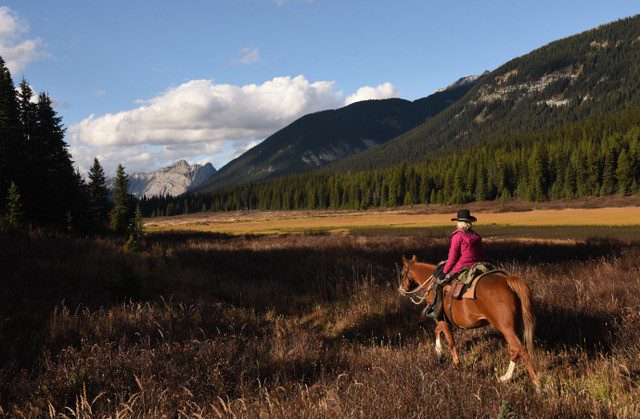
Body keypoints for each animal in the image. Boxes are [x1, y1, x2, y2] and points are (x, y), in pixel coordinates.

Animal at [400, 254, 540, 386]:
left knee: (520, 349)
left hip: (506, 327)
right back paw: (506, 377)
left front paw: (456, 364)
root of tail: (507, 280)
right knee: (514, 349)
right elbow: (437, 331)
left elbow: (450, 341)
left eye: (402, 273)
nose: (401, 289)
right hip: (514, 326)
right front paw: (439, 352)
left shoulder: (441, 319)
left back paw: (536, 383)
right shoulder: (442, 319)